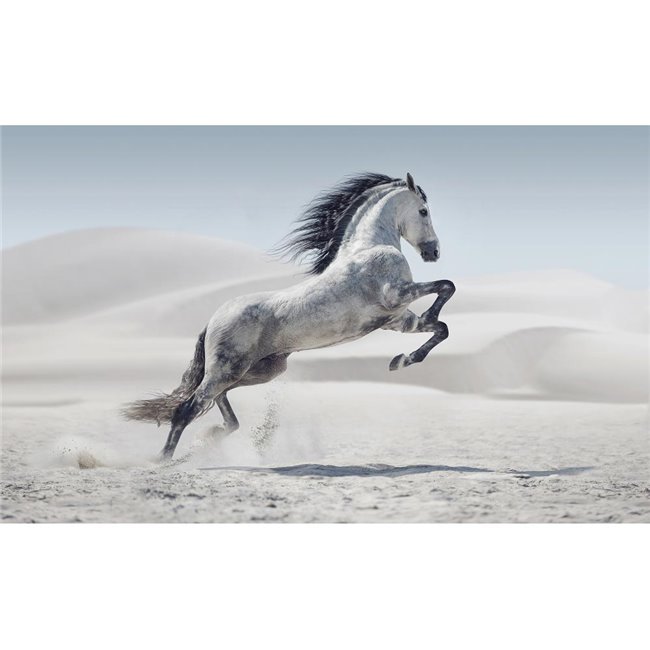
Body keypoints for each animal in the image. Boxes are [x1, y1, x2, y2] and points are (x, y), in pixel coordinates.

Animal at [123, 172, 455, 460]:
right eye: (423, 211)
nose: (434, 252)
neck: (369, 247)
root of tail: (213, 320)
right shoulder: (396, 295)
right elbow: (446, 287)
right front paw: (410, 346)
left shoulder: (397, 320)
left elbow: (441, 328)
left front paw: (401, 360)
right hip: (228, 370)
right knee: (188, 408)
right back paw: (164, 460)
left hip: (259, 371)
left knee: (219, 404)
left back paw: (210, 438)